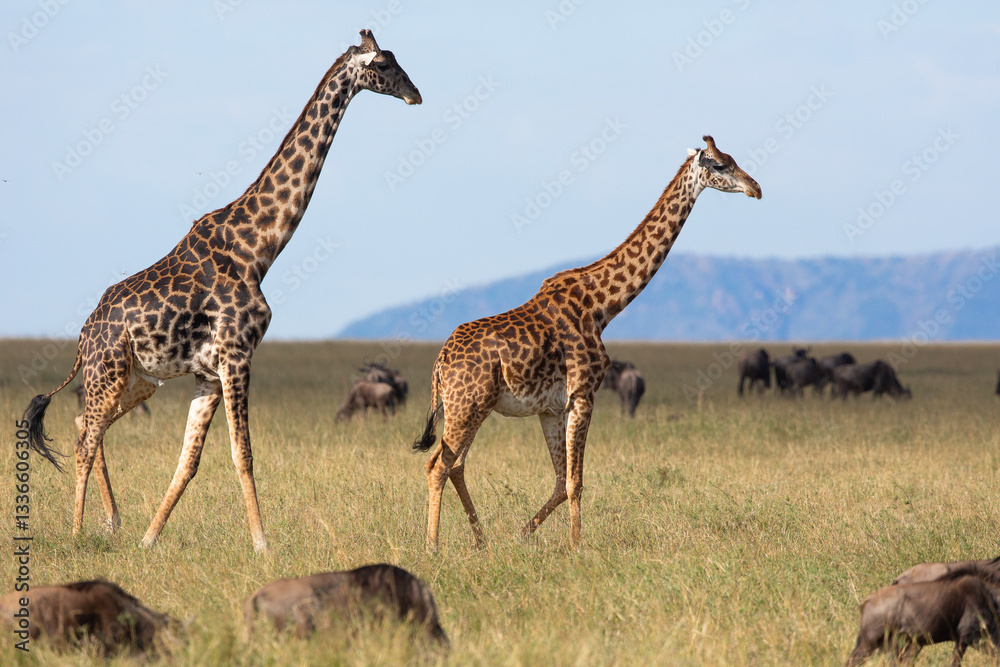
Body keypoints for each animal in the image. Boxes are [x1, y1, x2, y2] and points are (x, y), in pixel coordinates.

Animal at [22, 30, 421, 553]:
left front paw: (149, 539)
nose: (416, 94)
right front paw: (262, 544)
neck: (258, 249)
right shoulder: (236, 355)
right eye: (385, 65)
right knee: (84, 439)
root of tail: (84, 335)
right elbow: (242, 453)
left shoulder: (207, 373)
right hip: (107, 372)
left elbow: (189, 461)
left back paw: (113, 521)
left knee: (85, 426)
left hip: (137, 380)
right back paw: (75, 532)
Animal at [413, 136, 761, 551]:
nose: (756, 188)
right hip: (467, 406)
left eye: (733, 159)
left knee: (454, 464)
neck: (601, 305)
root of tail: (438, 364)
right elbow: (575, 482)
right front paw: (577, 547)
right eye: (721, 165)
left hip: (467, 407)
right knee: (438, 465)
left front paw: (521, 535)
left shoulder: (551, 408)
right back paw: (432, 547)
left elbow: (560, 482)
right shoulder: (583, 394)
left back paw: (482, 541)